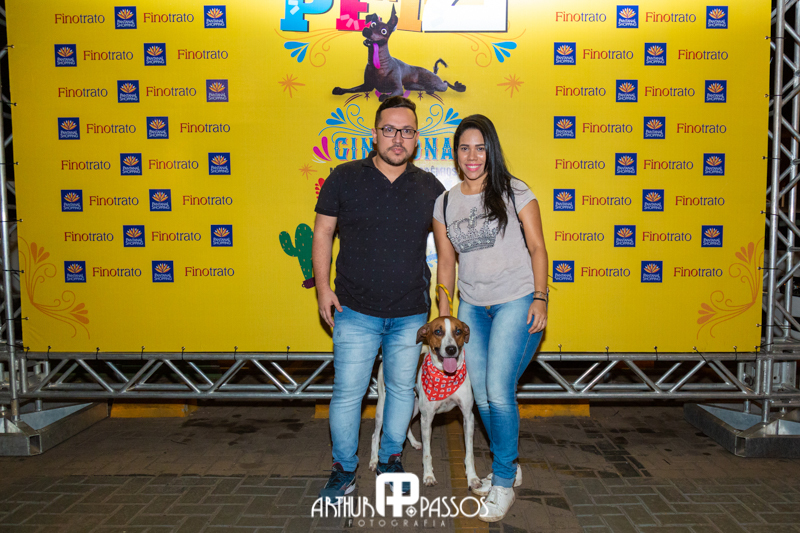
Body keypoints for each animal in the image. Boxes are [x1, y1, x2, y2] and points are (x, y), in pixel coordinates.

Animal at [332, 5, 466, 101]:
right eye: (372, 24)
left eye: (384, 31)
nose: (366, 31)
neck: (379, 65)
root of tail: (433, 73)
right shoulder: (367, 86)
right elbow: (351, 89)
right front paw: (339, 89)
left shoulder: (398, 89)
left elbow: (386, 95)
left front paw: (384, 96)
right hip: (411, 86)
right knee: (429, 88)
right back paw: (430, 90)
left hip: (436, 83)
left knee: (444, 83)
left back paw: (458, 87)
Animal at [369, 316, 480, 489]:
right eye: (438, 331)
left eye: (458, 331)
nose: (451, 349)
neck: (445, 376)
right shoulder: (427, 419)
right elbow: (427, 454)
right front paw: (428, 476)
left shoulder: (468, 416)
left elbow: (470, 454)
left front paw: (472, 477)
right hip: (383, 407)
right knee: (375, 435)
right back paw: (374, 461)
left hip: (412, 405)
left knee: (406, 424)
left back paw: (414, 443)